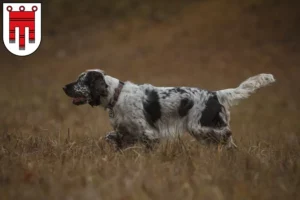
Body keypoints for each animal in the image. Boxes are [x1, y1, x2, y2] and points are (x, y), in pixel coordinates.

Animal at [62, 69, 276, 149]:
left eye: (82, 80)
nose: (64, 87)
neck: (117, 95)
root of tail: (216, 94)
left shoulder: (150, 134)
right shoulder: (127, 133)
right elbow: (113, 138)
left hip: (199, 127)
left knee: (227, 134)